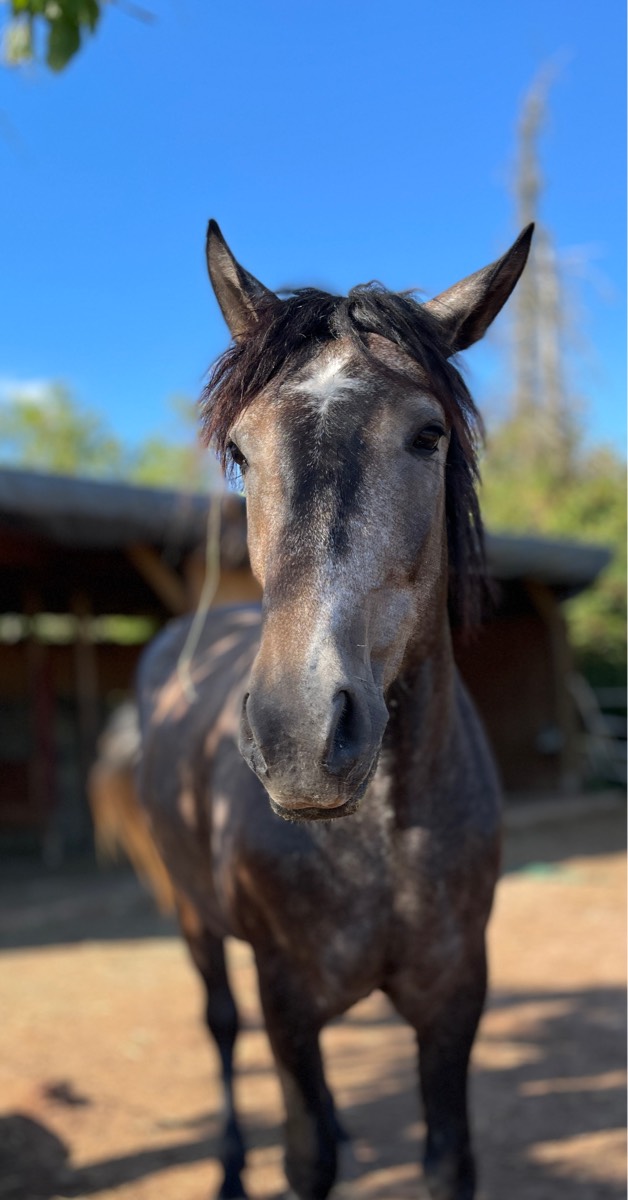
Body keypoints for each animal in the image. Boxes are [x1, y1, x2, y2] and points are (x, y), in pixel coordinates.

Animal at [137, 219, 533, 1200]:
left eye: (428, 435)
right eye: (242, 452)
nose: (301, 735)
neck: (381, 840)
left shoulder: (454, 1000)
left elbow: (446, 1159)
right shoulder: (286, 998)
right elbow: (305, 1156)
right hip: (196, 920)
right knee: (219, 1027)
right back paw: (229, 1167)